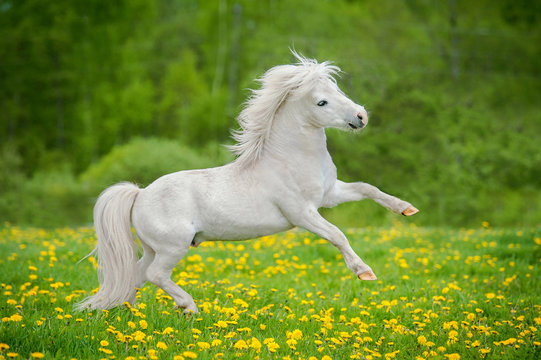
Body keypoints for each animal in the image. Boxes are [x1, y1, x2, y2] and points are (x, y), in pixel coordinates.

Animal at [78, 52, 418, 312]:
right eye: (321, 102)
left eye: (337, 89)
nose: (361, 117)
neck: (290, 159)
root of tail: (139, 194)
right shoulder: (303, 213)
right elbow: (337, 234)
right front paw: (364, 273)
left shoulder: (330, 195)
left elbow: (366, 188)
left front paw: (406, 209)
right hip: (172, 247)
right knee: (156, 275)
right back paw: (188, 307)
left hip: (152, 248)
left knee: (135, 277)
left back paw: (123, 313)